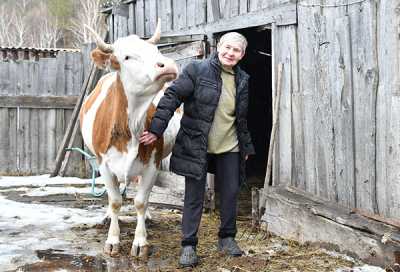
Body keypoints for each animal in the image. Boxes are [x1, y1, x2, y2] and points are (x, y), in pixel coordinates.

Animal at [80, 20, 180, 258]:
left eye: (156, 50)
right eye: (126, 57)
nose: (167, 65)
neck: (130, 129)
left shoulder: (152, 163)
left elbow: (141, 202)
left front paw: (140, 241)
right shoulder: (104, 164)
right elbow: (115, 200)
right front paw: (112, 239)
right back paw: (108, 216)